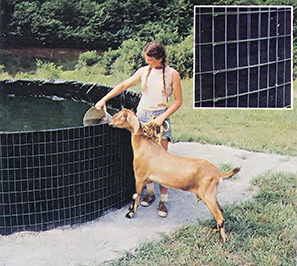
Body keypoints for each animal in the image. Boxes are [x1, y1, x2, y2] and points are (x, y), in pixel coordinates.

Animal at [108, 108, 238, 243]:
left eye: (121, 115)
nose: (109, 121)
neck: (143, 145)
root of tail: (218, 172)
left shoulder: (139, 176)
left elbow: (136, 196)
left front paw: (130, 213)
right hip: (212, 195)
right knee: (221, 211)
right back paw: (215, 229)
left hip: (208, 196)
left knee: (220, 217)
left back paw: (222, 241)